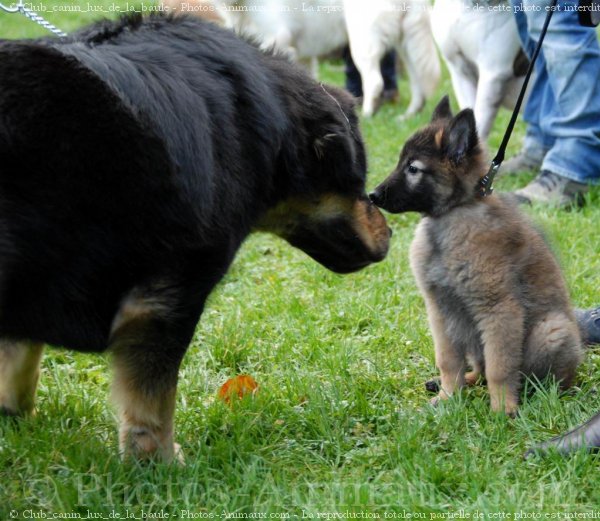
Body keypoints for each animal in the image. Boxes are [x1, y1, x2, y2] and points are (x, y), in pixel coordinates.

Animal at [0, 16, 390, 462]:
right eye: (360, 184)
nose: (390, 231)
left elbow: (20, 358)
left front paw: (15, 414)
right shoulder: (170, 298)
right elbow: (154, 403)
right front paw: (160, 462)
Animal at [219, 0, 440, 119]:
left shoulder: (276, 38)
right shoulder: (303, 57)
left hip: (362, 42)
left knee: (375, 82)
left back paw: (367, 115)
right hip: (407, 45)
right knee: (418, 83)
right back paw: (409, 115)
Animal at [372, 96, 584, 414]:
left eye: (413, 169)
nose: (372, 195)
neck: (451, 216)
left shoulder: (498, 309)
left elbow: (499, 367)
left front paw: (502, 409)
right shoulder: (439, 309)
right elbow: (448, 360)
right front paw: (448, 397)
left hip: (551, 330)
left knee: (541, 377)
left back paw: (543, 395)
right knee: (479, 368)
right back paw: (464, 381)